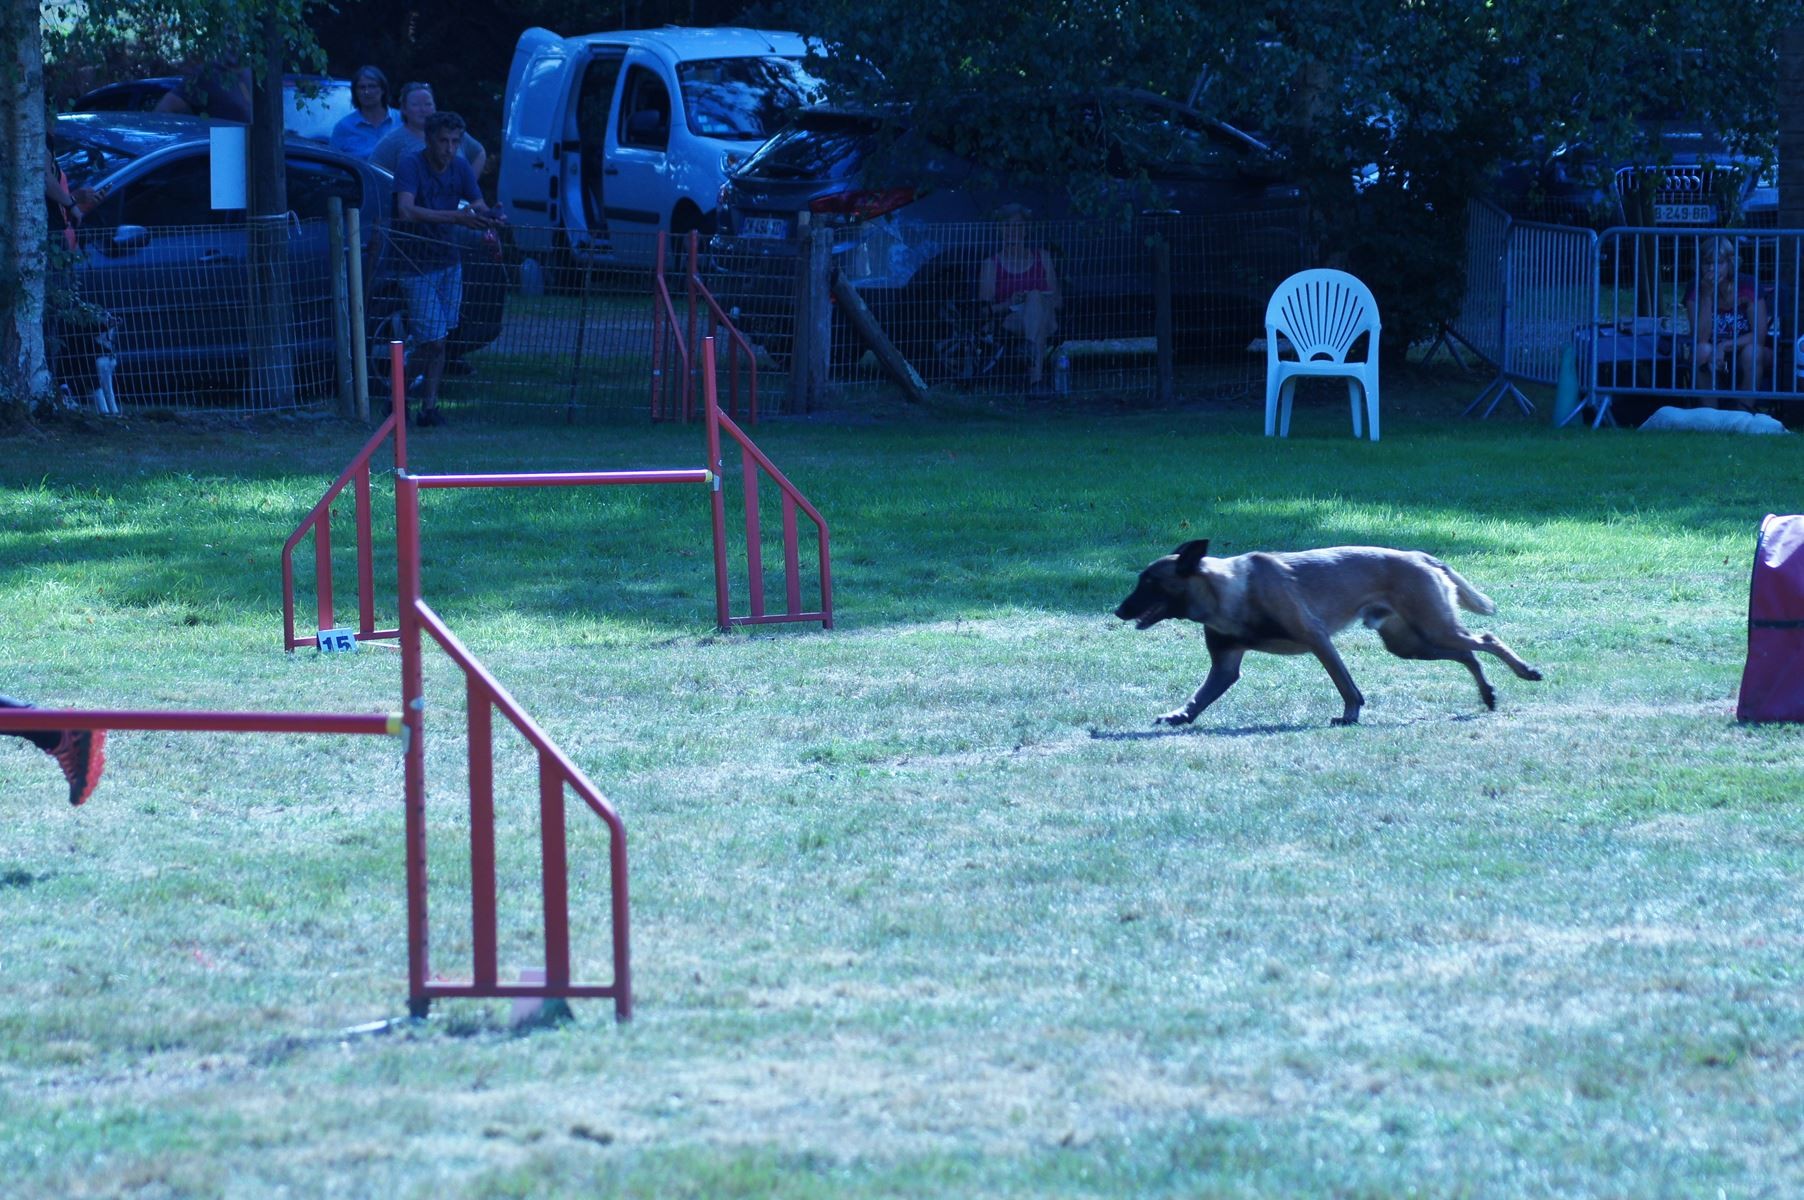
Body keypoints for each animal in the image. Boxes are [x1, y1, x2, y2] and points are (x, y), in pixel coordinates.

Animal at [1104, 541, 1544, 725]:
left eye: (1149, 582)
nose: (1118, 610)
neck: (1227, 590)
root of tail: (1420, 556)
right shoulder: (1225, 666)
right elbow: (1200, 696)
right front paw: (1179, 715)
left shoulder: (1318, 641)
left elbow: (1347, 686)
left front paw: (1349, 717)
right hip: (1411, 643)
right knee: (1468, 653)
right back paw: (1487, 694)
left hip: (1431, 629)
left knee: (1485, 640)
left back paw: (1525, 672)